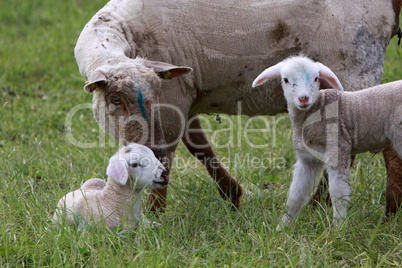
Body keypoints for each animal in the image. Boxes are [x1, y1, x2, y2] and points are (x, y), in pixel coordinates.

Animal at [253, 56, 400, 228]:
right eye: (286, 80)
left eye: (316, 78)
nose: (304, 98)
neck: (316, 110)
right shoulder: (307, 159)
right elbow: (295, 194)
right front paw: (283, 226)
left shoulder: (338, 147)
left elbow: (338, 192)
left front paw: (338, 227)